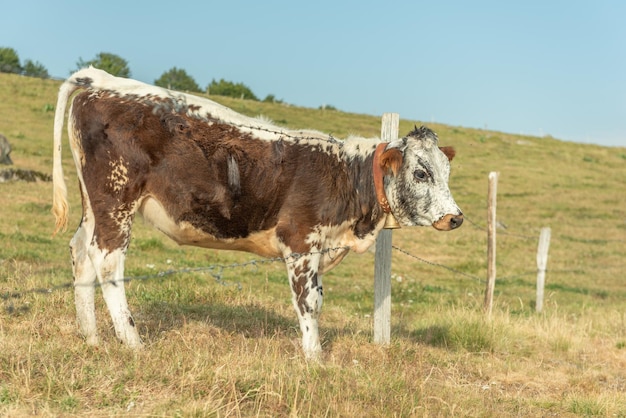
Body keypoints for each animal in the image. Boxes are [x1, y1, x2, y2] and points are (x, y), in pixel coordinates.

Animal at [52, 68, 464, 360]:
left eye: (446, 171)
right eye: (421, 173)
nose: (456, 217)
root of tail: (102, 80)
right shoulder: (301, 240)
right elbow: (309, 301)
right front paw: (315, 360)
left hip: (94, 203)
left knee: (80, 252)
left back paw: (91, 337)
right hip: (116, 196)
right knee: (107, 261)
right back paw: (132, 341)